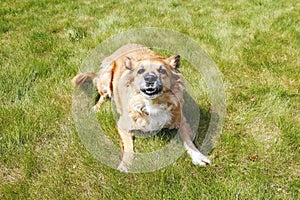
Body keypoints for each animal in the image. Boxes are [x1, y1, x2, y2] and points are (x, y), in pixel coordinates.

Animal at [72, 43, 211, 172]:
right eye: (140, 71)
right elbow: (128, 148)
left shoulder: (181, 121)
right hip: (106, 78)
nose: (149, 79)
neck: (152, 104)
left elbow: (188, 141)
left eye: (162, 71)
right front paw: (124, 165)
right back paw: (96, 107)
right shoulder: (122, 125)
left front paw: (198, 156)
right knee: (103, 96)